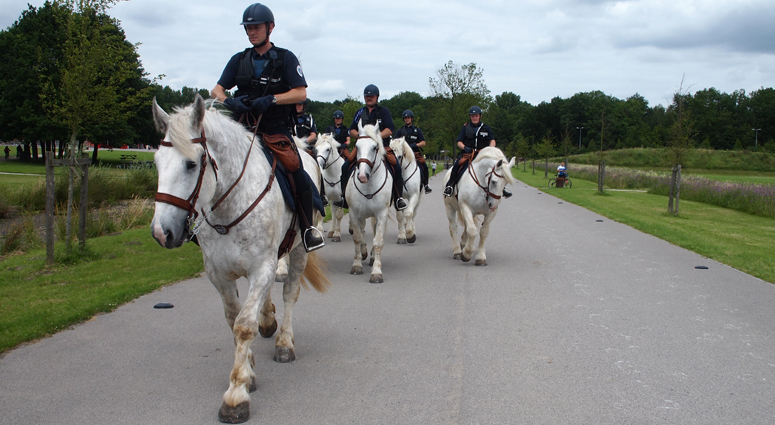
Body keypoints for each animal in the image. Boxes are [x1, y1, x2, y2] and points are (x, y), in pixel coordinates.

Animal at [151, 94, 330, 422]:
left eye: (191, 164)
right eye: (157, 162)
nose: (161, 232)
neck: (230, 203)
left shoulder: (262, 267)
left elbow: (244, 325)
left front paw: (236, 394)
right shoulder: (219, 274)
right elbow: (233, 319)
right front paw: (248, 369)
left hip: (298, 251)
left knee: (289, 292)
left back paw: (284, 341)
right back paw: (268, 320)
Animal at [348, 121, 394, 282]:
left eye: (375, 147)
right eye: (357, 146)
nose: (362, 175)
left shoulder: (381, 215)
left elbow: (378, 241)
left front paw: (376, 272)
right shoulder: (354, 214)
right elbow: (357, 237)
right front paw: (356, 265)